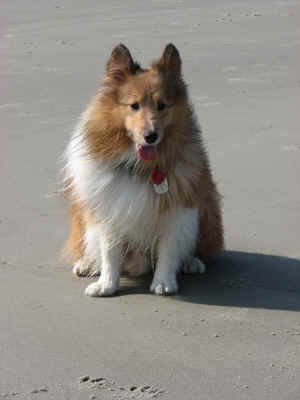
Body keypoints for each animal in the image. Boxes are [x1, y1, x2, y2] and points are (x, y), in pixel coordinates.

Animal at [62, 43, 223, 296]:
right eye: (134, 105)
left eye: (162, 105)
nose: (150, 136)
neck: (142, 166)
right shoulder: (111, 208)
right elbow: (110, 252)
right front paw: (106, 285)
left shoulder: (176, 210)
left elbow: (169, 249)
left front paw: (164, 282)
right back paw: (89, 264)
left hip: (206, 208)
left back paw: (191, 262)